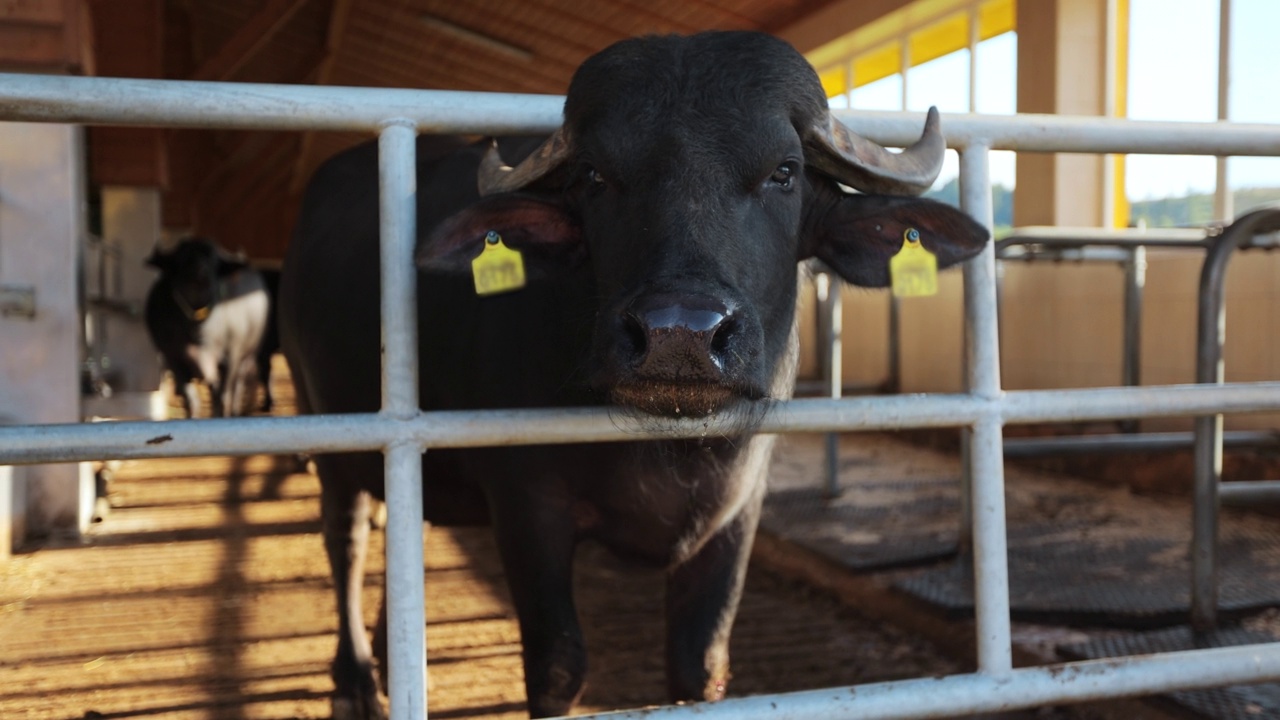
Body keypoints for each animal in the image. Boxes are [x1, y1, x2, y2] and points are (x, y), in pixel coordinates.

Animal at [146, 235, 271, 415]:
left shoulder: (229, 359)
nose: (200, 271)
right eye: (182, 257)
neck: (197, 328)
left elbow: (222, 398)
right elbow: (190, 399)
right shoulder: (174, 359)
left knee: (238, 385)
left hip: (248, 355)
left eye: (213, 259)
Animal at [280, 29, 988, 717]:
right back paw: (356, 678)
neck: (665, 449)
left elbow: (700, 665)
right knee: (346, 536)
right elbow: (559, 665)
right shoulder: (526, 504)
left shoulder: (737, 512)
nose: (681, 335)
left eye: (784, 173)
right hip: (327, 427)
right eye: (595, 174)